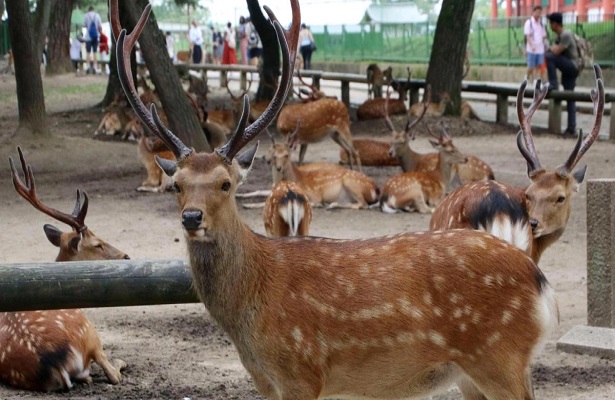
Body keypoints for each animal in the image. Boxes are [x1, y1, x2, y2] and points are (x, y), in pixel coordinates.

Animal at [113, 0, 560, 400]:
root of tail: (541, 282)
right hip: (472, 374)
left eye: (225, 184)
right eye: (177, 184)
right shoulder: (266, 382)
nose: (192, 217)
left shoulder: (301, 371)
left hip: (500, 358)